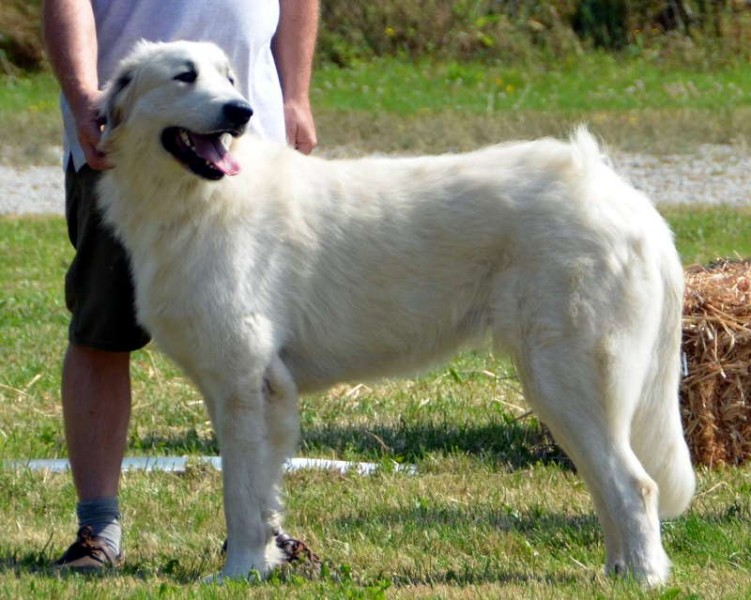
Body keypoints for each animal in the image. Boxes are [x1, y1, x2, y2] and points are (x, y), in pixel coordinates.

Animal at [97, 39, 696, 584]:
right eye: (185, 76)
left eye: (228, 78)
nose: (238, 112)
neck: (195, 200)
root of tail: (628, 199)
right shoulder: (247, 391)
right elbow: (262, 496)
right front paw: (264, 565)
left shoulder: (245, 385)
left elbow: (241, 498)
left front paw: (239, 573)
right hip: (566, 391)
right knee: (607, 485)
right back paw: (617, 570)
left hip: (569, 378)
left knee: (635, 486)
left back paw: (644, 578)